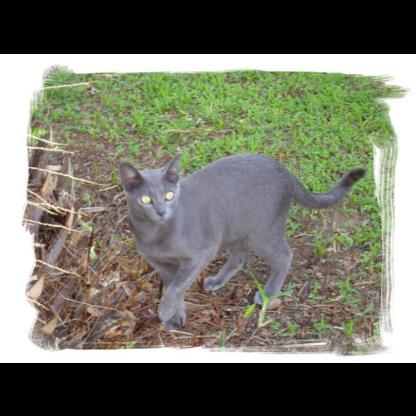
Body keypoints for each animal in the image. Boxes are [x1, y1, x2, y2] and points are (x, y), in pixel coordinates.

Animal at [119, 154, 365, 330]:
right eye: (145, 199)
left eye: (169, 196)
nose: (161, 211)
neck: (156, 234)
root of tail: (285, 171)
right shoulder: (160, 263)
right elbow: (173, 287)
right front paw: (174, 316)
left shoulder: (200, 254)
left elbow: (175, 288)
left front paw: (164, 310)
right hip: (234, 228)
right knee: (240, 256)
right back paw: (217, 281)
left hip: (262, 231)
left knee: (284, 256)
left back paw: (268, 293)